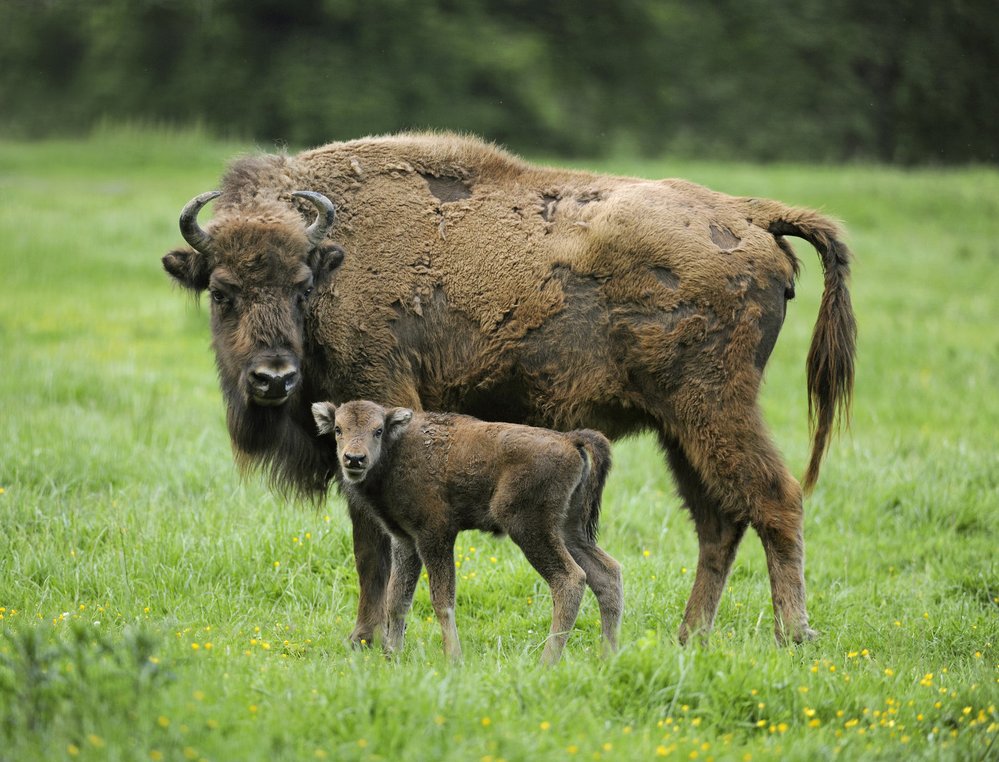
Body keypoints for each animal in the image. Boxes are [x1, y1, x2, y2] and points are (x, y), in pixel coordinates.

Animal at [314, 400, 624, 664]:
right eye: (339, 429)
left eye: (377, 430)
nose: (354, 459)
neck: (398, 447)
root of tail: (569, 439)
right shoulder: (405, 540)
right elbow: (397, 599)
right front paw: (392, 656)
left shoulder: (435, 535)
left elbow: (442, 599)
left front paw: (453, 657)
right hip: (568, 530)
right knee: (607, 574)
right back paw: (607, 657)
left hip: (531, 528)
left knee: (570, 579)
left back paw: (546, 662)